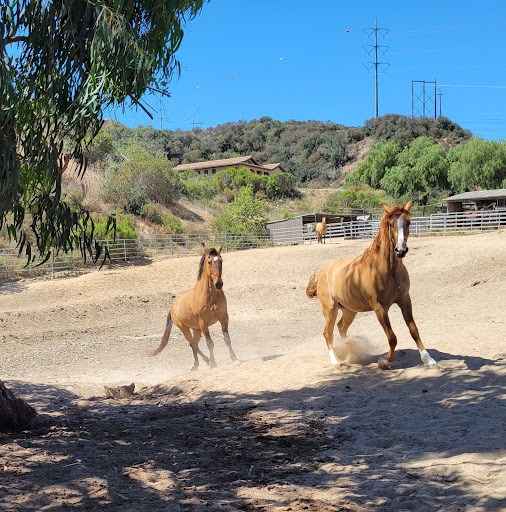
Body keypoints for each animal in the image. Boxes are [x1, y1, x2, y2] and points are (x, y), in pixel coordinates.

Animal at [306, 202, 436, 370]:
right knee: (328, 333)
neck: (388, 271)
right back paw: (336, 361)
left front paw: (428, 359)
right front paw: (385, 361)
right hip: (330, 309)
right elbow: (392, 337)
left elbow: (414, 330)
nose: (400, 250)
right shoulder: (379, 308)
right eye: (391, 224)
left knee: (341, 327)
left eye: (408, 222)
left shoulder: (405, 300)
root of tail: (324, 271)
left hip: (349, 310)